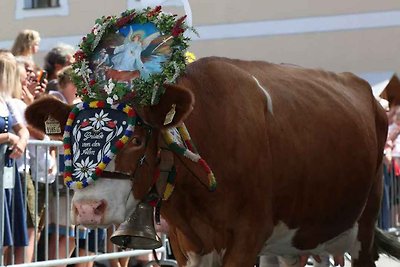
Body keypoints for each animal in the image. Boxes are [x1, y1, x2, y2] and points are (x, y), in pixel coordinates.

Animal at [25, 5, 400, 267]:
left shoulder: (248, 235)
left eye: (137, 139)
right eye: (69, 139)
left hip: (364, 226)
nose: (88, 209)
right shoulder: (185, 241)